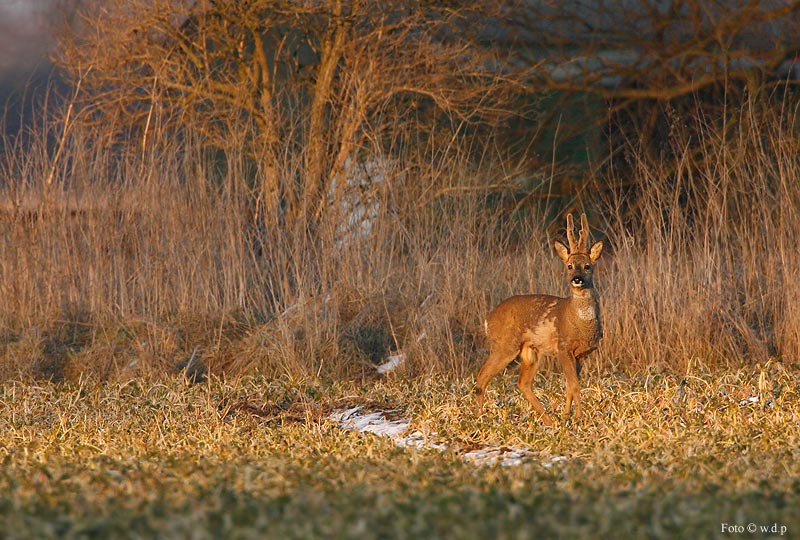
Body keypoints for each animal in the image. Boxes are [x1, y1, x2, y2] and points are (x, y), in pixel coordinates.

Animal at [476, 213, 600, 428]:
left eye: (587, 266)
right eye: (569, 266)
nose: (577, 279)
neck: (580, 323)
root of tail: (487, 319)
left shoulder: (582, 354)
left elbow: (570, 386)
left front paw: (566, 416)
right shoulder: (563, 347)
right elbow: (574, 386)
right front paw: (579, 418)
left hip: (530, 350)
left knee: (523, 383)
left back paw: (549, 421)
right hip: (505, 345)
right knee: (482, 377)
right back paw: (478, 418)